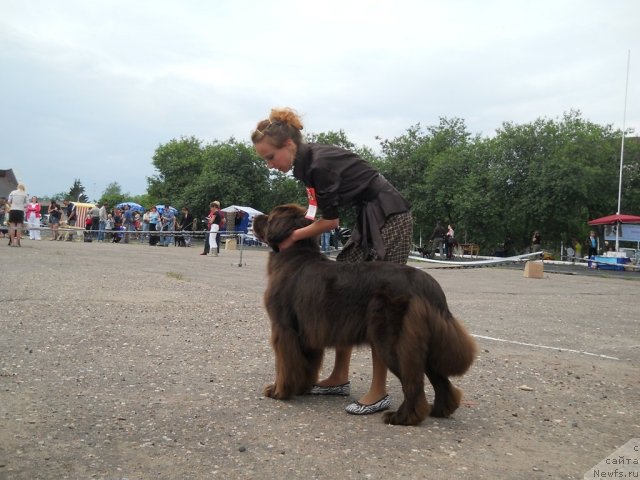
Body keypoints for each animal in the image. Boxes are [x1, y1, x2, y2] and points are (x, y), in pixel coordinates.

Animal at [254, 204, 476, 426]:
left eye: (270, 217)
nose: (256, 217)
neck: (294, 255)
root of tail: (424, 282)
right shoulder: (308, 331)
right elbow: (306, 364)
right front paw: (300, 388)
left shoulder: (284, 327)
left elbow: (284, 364)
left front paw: (278, 391)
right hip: (423, 340)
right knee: (439, 378)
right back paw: (439, 410)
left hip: (393, 339)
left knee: (413, 381)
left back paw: (402, 417)